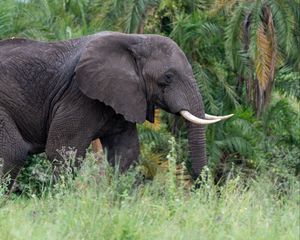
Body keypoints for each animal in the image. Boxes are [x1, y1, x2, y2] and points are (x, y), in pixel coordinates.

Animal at [0, 31, 232, 188]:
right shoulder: (78, 95)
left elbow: (126, 154)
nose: (203, 189)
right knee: (13, 153)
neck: (134, 39)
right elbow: (63, 151)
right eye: (168, 77)